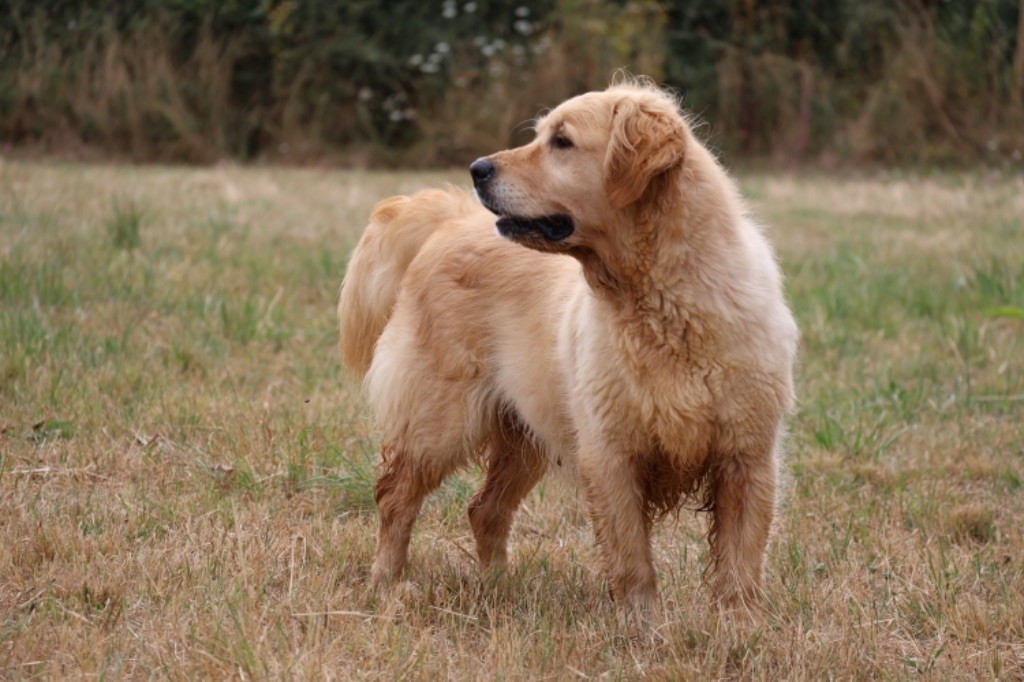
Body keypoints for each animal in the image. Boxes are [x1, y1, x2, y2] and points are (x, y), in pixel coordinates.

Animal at [337, 78, 798, 606]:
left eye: (562, 142)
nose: (477, 169)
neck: (665, 303)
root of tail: (452, 220)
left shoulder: (747, 457)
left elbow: (740, 569)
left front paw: (737, 626)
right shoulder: (611, 454)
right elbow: (633, 564)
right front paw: (642, 622)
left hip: (524, 435)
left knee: (484, 509)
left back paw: (498, 586)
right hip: (438, 421)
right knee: (396, 496)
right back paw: (387, 584)